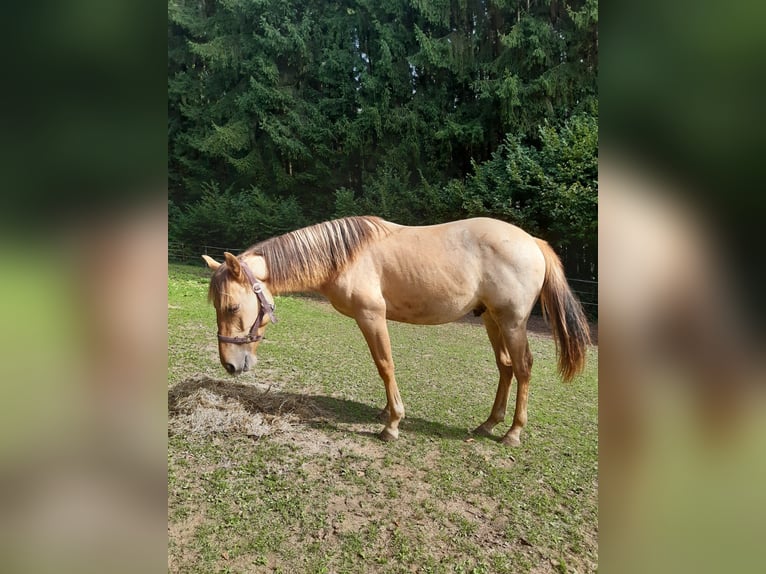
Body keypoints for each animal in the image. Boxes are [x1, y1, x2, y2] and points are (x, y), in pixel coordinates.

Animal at [202, 216, 590, 445]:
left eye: (232, 307)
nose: (230, 364)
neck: (346, 256)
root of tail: (532, 241)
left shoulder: (372, 316)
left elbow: (385, 365)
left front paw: (392, 424)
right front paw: (387, 413)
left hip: (511, 322)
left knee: (522, 368)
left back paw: (512, 432)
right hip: (492, 320)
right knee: (506, 368)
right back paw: (488, 424)